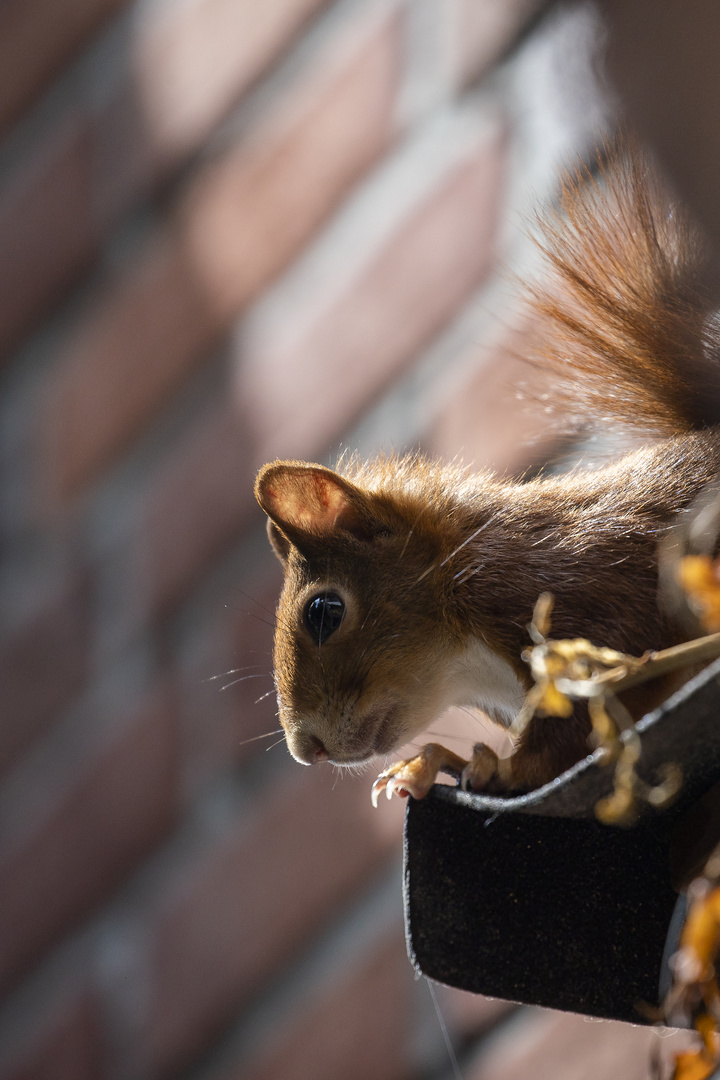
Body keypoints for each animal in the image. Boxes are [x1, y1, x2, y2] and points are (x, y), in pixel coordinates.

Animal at [254, 143, 720, 799]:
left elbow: (592, 705)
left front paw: (489, 764)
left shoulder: (578, 589)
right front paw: (428, 763)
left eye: (324, 612)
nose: (307, 750)